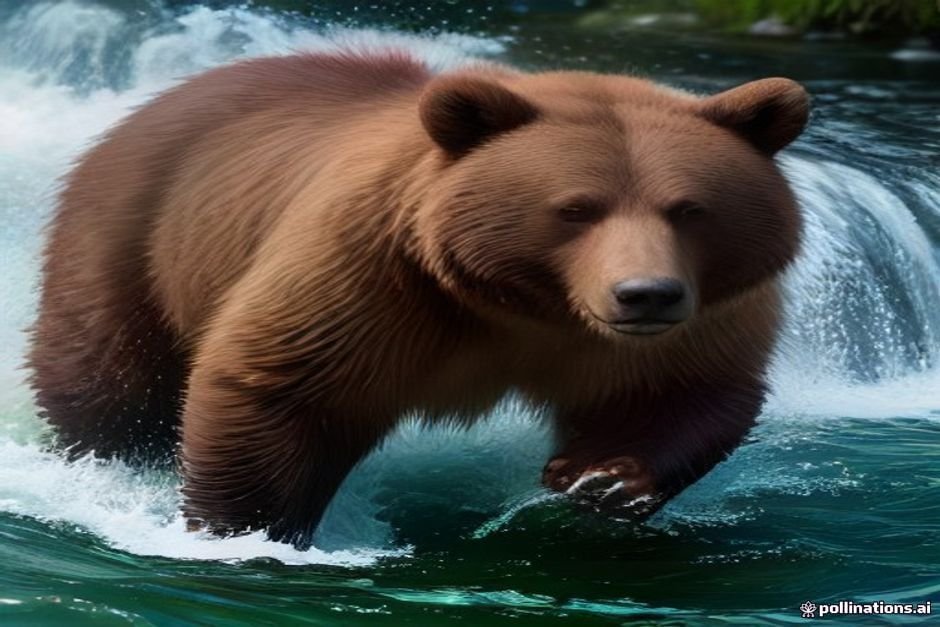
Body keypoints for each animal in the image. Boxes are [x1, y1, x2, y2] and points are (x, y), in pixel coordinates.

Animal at [27, 50, 808, 548]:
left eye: (689, 209)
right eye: (576, 208)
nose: (645, 294)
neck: (523, 301)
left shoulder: (702, 315)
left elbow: (680, 390)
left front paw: (603, 478)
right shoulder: (373, 273)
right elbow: (278, 382)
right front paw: (244, 528)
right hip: (132, 233)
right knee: (107, 375)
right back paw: (109, 459)